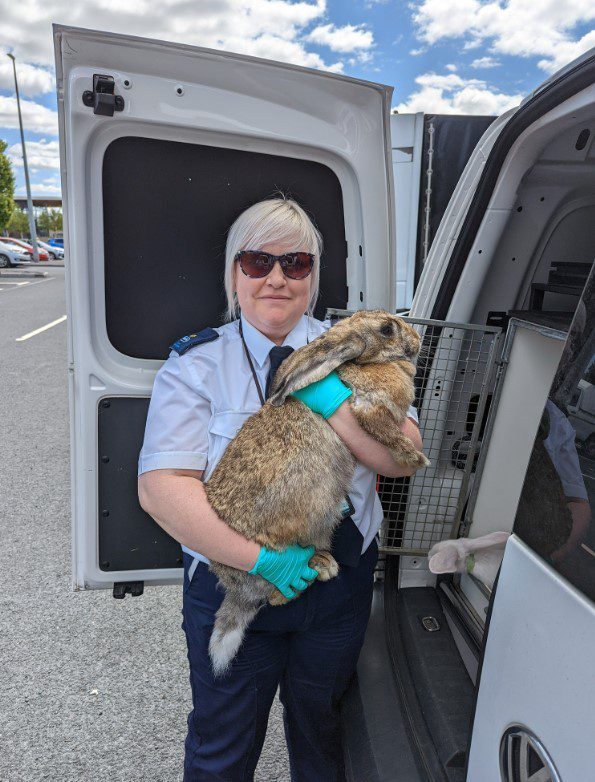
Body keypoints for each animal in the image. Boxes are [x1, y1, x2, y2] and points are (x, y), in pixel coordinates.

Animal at [205, 310, 428, 676]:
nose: (417, 339)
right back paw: (316, 567)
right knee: (277, 597)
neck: (363, 363)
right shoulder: (369, 407)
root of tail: (237, 590)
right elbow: (386, 431)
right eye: (386, 329)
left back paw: (323, 563)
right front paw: (416, 458)